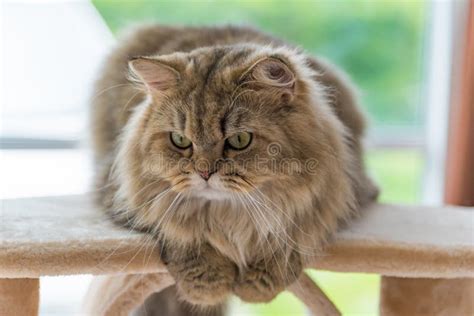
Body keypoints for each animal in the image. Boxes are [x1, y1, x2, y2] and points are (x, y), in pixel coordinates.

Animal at [91, 25, 378, 316]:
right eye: (180, 140)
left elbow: (291, 239)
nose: (204, 173)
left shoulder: (339, 198)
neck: (230, 215)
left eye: (239, 140)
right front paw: (208, 283)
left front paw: (257, 284)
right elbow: (179, 231)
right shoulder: (123, 194)